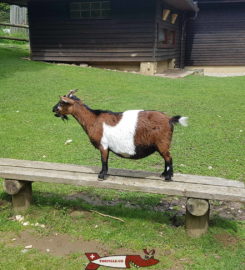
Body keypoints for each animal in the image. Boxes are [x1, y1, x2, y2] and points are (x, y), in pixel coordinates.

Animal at [53, 89, 188, 180]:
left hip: (162, 143)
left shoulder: (103, 145)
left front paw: (102, 175)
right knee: (167, 158)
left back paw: (168, 177)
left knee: (169, 158)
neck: (93, 119)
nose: (53, 109)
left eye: (61, 102)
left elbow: (104, 160)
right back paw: (164, 174)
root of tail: (169, 119)